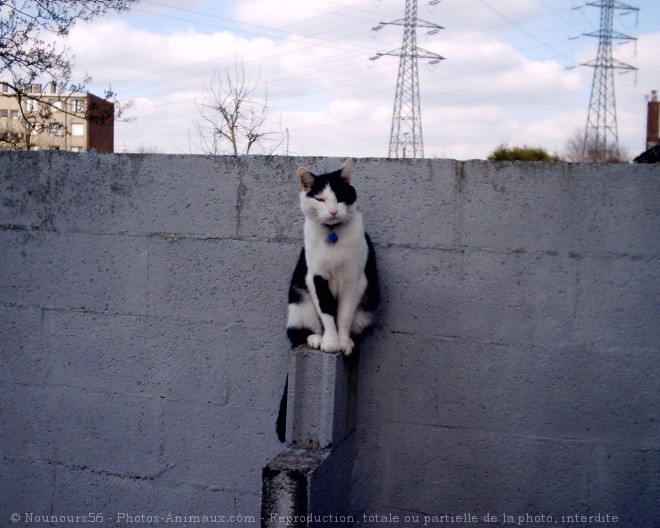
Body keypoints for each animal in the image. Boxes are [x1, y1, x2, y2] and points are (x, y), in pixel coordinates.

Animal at [286, 157, 378, 354]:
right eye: (320, 199)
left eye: (341, 197)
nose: (333, 211)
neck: (332, 233)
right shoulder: (315, 277)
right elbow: (326, 311)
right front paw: (330, 341)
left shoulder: (354, 279)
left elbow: (344, 314)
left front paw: (342, 342)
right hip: (300, 301)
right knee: (297, 333)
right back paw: (316, 339)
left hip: (366, 310)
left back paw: (350, 341)